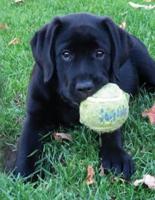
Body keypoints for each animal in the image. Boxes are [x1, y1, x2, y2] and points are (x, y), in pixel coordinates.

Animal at [14, 13, 155, 180]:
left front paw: (115, 157)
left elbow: (112, 131)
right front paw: (25, 172)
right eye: (66, 54)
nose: (85, 87)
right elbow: (27, 144)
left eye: (100, 53)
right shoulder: (35, 116)